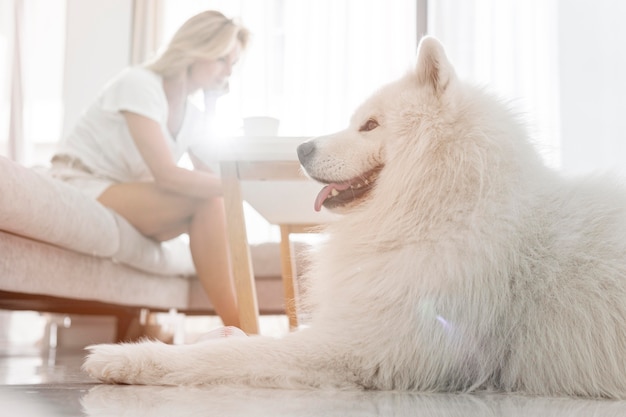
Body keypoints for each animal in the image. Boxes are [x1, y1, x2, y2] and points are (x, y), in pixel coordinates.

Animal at [83, 36, 626, 396]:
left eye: (370, 125)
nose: (300, 149)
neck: (448, 204)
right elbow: (239, 339)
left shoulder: (365, 348)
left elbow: (234, 354)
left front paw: (127, 357)